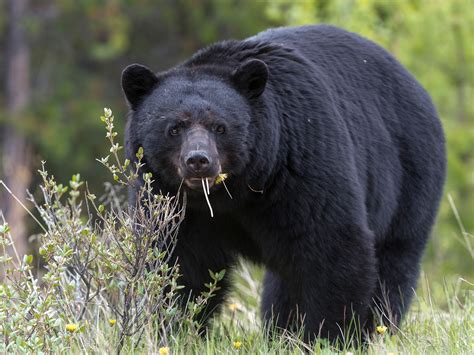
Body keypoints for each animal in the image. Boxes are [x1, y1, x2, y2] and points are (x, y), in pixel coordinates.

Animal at [120, 25, 446, 342]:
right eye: (174, 127)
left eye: (220, 127)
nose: (199, 160)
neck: (236, 190)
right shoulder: (170, 199)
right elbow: (177, 260)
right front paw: (174, 329)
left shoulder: (301, 163)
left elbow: (331, 245)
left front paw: (326, 336)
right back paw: (280, 330)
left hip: (409, 175)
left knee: (394, 261)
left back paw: (374, 329)